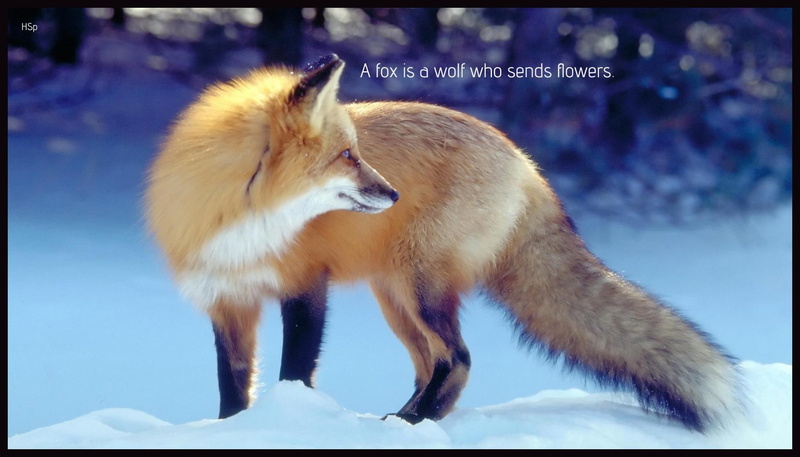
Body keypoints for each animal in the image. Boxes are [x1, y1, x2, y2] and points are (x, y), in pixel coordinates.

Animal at [145, 54, 740, 432]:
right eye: (347, 157)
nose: (392, 192)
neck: (243, 223)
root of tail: (525, 162)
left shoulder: (306, 286)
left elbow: (295, 372)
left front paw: (291, 423)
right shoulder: (227, 300)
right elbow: (232, 386)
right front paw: (230, 430)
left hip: (419, 286)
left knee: (458, 359)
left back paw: (414, 422)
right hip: (395, 297)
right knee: (430, 363)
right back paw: (406, 419)